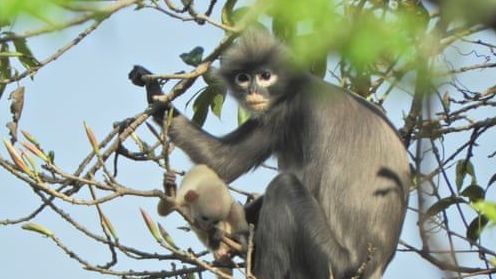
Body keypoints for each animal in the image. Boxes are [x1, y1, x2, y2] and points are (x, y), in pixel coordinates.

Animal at [130, 29, 408, 279]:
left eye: (265, 76)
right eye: (243, 78)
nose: (253, 91)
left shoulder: (299, 109)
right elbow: (222, 161)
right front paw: (154, 91)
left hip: (333, 263)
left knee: (284, 186)